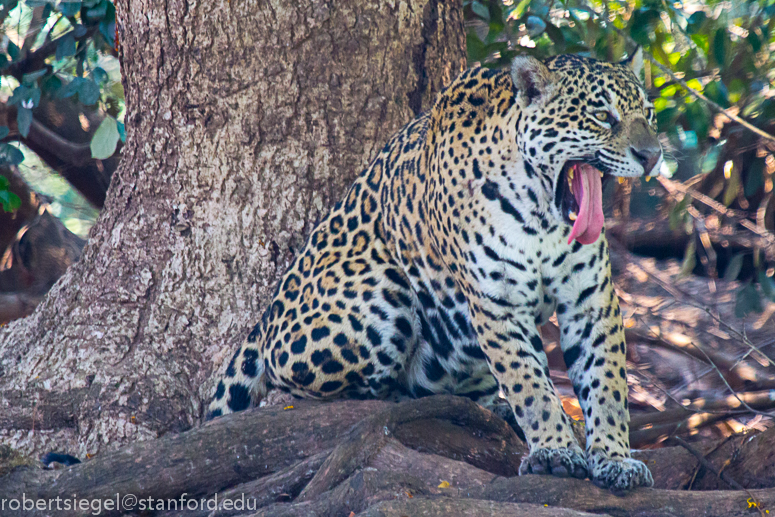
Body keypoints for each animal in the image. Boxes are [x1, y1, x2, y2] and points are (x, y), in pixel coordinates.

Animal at [207, 50, 662, 492]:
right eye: (602, 115)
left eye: (649, 113)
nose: (652, 156)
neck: (542, 216)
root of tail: (265, 320)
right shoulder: (498, 304)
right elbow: (529, 383)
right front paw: (555, 451)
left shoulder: (592, 301)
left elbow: (607, 384)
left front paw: (615, 459)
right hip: (382, 295)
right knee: (312, 394)